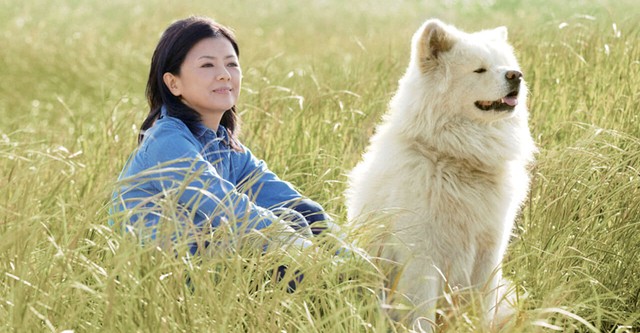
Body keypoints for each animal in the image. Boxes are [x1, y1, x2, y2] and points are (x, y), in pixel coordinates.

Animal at [344, 18, 536, 330]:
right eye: (479, 69)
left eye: (506, 65)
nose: (516, 76)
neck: (457, 158)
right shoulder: (422, 256)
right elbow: (422, 313)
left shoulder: (489, 251)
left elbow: (480, 307)